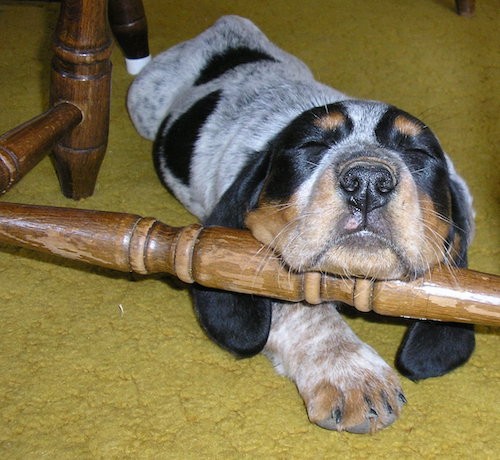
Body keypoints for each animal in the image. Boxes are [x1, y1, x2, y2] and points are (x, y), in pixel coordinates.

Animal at [127, 17, 474, 434]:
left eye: (418, 153)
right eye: (311, 146)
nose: (367, 182)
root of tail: (227, 27)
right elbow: (305, 310)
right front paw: (352, 377)